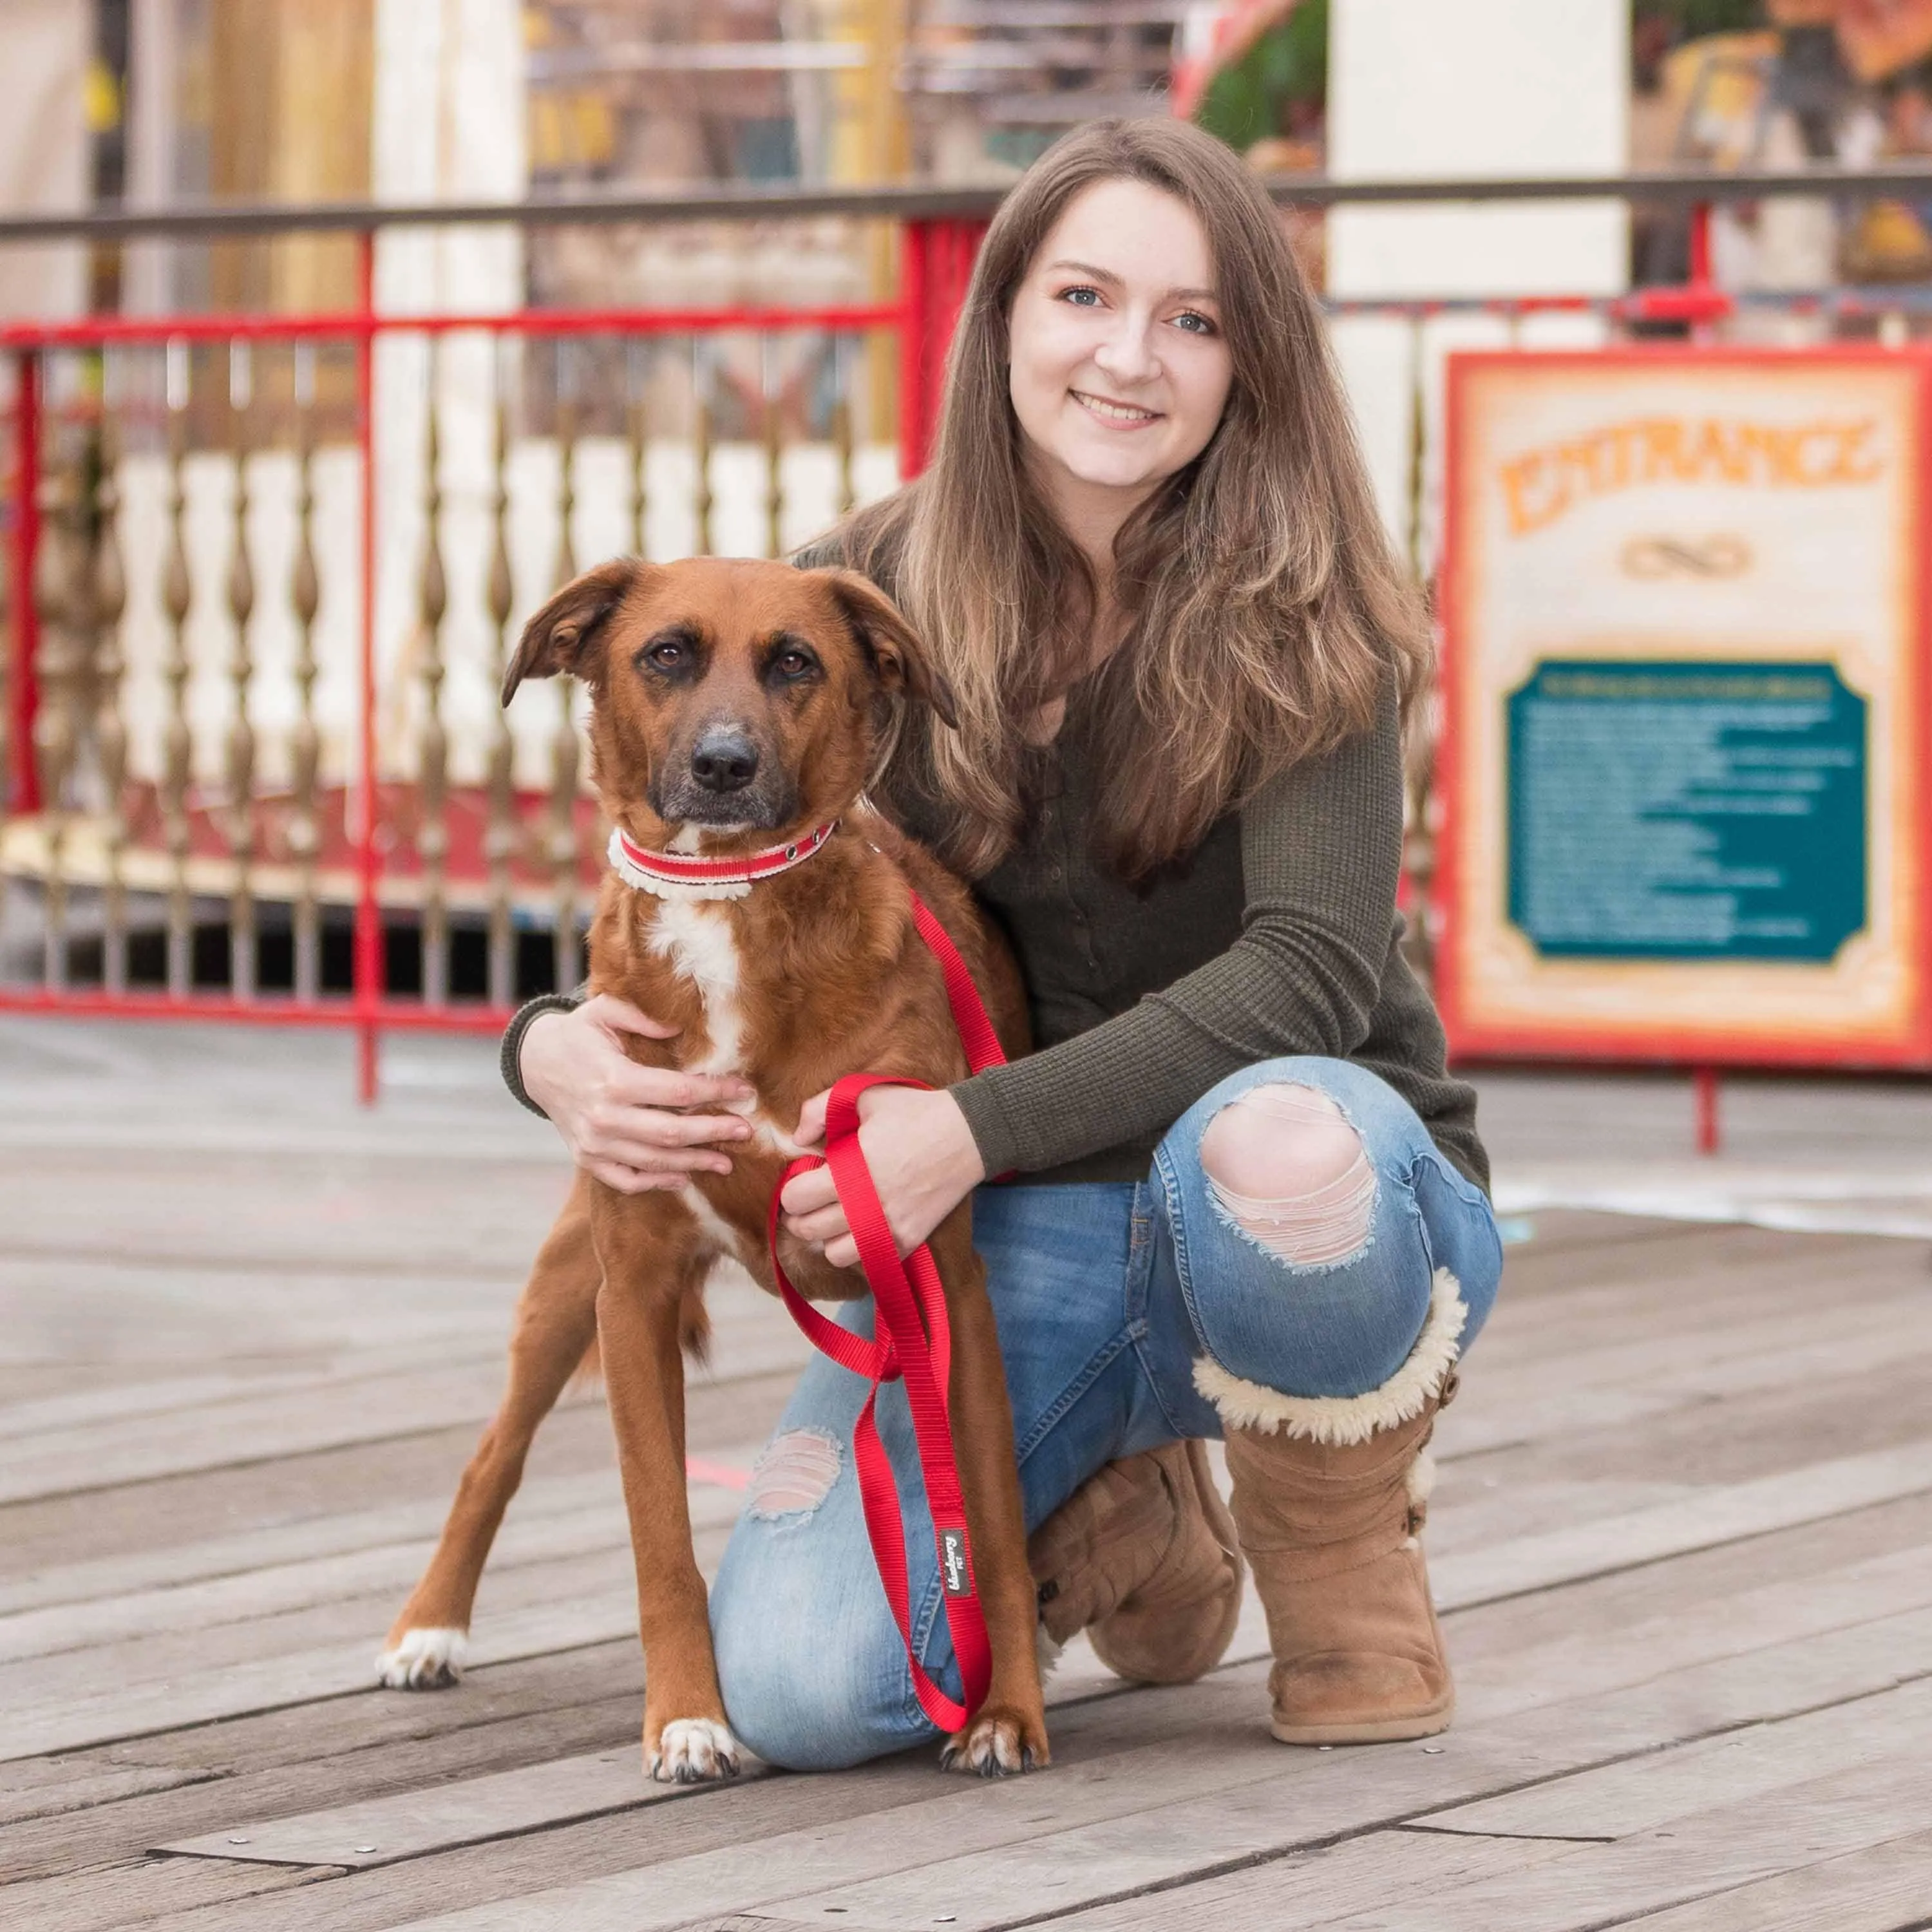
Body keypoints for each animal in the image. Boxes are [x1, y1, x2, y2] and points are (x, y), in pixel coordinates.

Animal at [371, 556, 1051, 1777]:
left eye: (795, 661)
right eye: (667, 654)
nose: (724, 766)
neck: (731, 906)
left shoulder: (945, 1288)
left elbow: (993, 1526)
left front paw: (1007, 1711)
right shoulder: (632, 1291)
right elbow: (658, 1537)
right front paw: (689, 1717)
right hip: (567, 1287)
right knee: (492, 1454)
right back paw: (427, 1627)